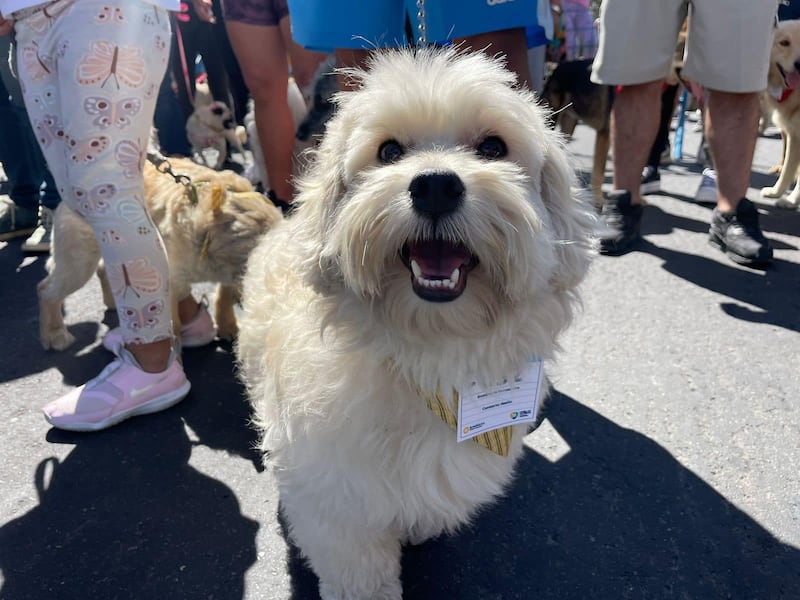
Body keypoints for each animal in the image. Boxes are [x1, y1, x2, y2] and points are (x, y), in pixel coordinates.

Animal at [37, 157, 282, 352]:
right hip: (78, 262)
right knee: (46, 290)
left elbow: (223, 295)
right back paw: (55, 333)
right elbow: (173, 324)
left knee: (103, 270)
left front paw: (227, 325)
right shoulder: (171, 282)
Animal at [234, 48, 596, 600]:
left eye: (493, 147)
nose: (436, 186)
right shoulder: (337, 504)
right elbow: (360, 573)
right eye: (388, 151)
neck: (429, 353)